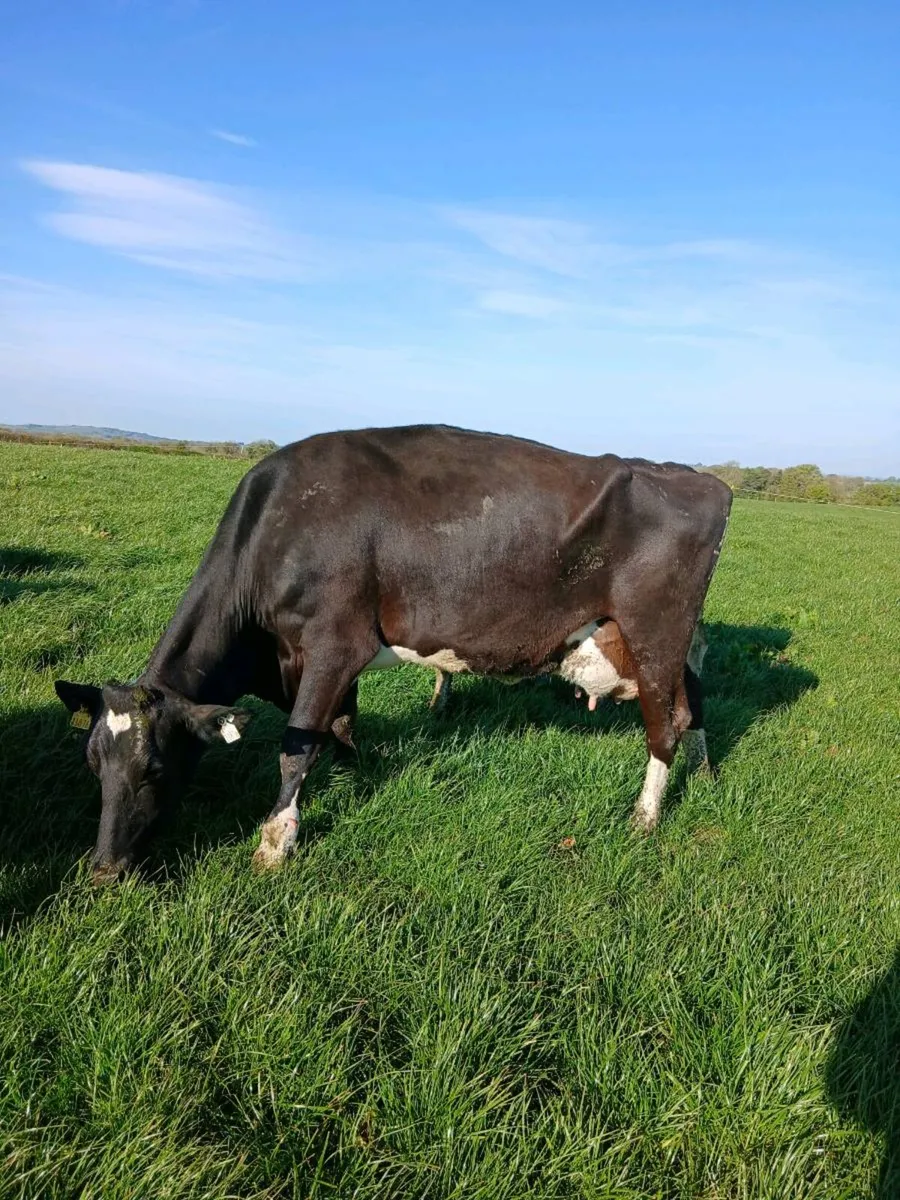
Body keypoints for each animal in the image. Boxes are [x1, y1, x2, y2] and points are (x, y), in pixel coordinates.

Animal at [54, 424, 731, 883]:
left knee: (662, 723)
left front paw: (276, 841)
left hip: (654, 628)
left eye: (154, 768)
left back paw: (645, 816)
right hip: (673, 636)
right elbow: (338, 726)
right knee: (692, 697)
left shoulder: (333, 642)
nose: (104, 868)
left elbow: (295, 745)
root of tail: (698, 477)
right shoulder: (316, 659)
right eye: (91, 765)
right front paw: (359, 773)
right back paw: (702, 769)